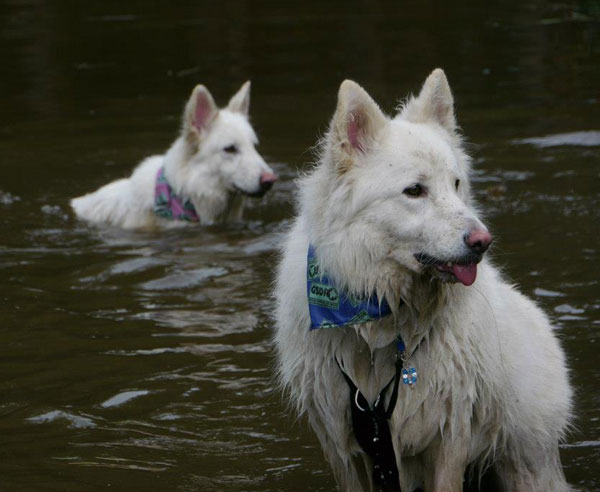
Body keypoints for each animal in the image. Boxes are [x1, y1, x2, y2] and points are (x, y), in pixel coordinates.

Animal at [274, 70, 572, 492]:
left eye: (457, 184)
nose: (483, 241)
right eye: (415, 190)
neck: (384, 326)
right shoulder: (345, 447)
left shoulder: (449, 436)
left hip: (527, 466)